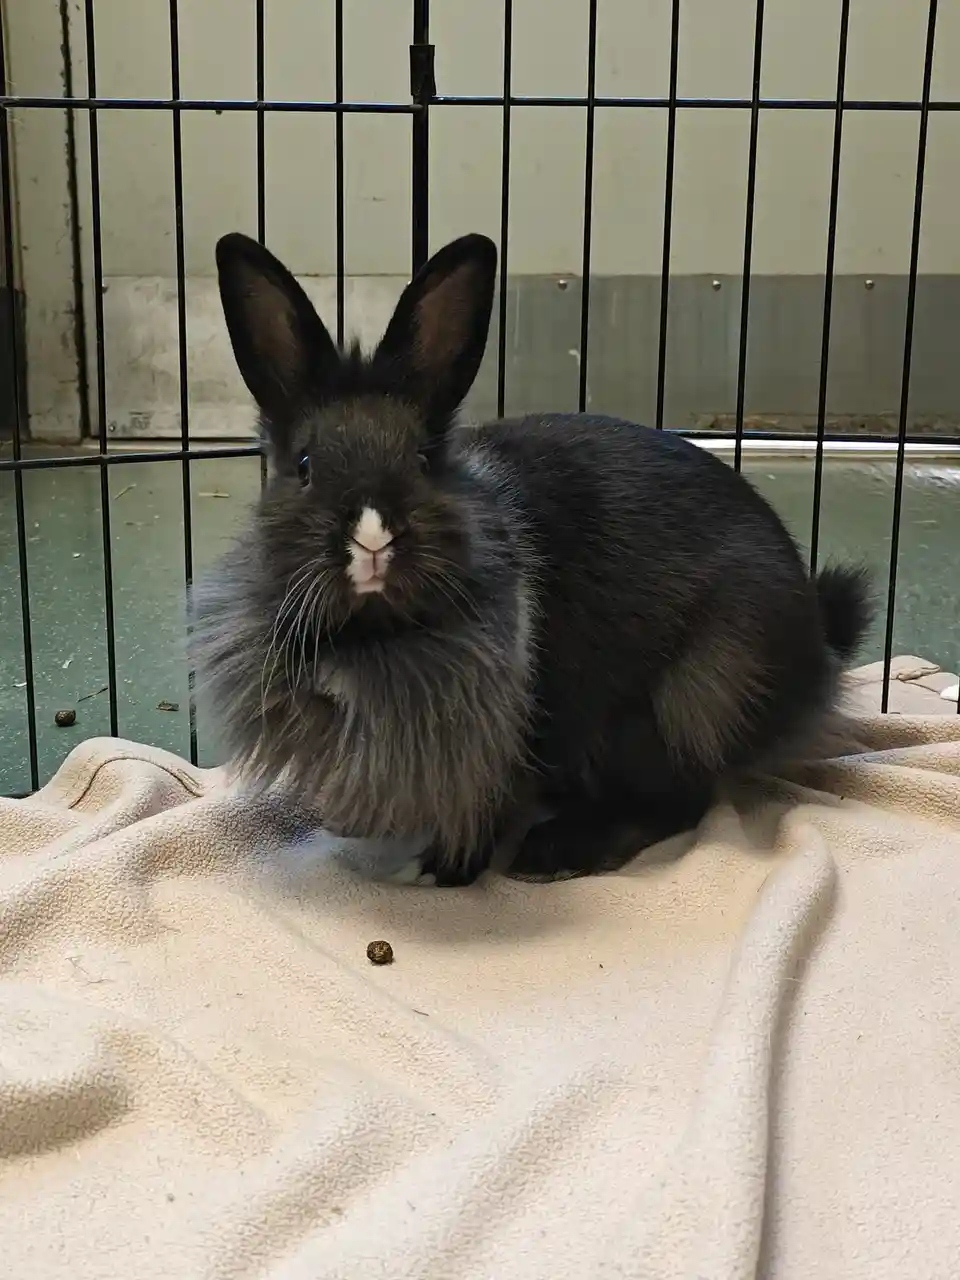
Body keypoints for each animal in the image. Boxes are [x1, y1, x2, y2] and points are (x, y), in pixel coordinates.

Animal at [192, 230, 872, 886]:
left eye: (422, 460)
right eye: (304, 467)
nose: (373, 540)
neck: (369, 636)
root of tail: (816, 654)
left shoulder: (497, 737)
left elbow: (483, 810)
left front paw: (442, 870)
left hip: (693, 700)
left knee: (681, 802)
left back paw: (556, 851)